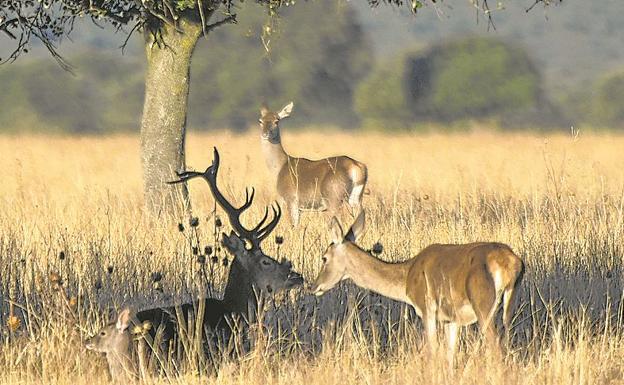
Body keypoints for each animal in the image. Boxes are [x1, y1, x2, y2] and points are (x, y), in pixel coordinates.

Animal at [310, 210, 520, 364]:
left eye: (324, 258)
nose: (314, 286)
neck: (407, 277)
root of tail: (511, 263)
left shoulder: (426, 308)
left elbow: (433, 351)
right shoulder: (451, 319)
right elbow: (449, 356)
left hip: (483, 305)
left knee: (496, 348)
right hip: (507, 308)